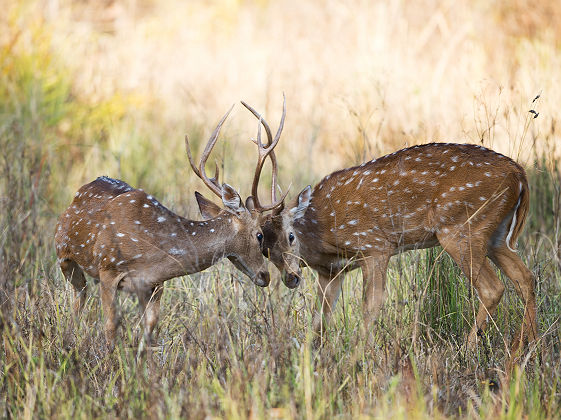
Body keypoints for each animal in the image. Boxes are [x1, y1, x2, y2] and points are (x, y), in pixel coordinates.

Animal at [54, 106, 280, 352]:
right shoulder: (108, 269)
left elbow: (150, 330)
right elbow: (110, 327)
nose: (265, 276)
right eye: (259, 235)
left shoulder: (154, 285)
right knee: (79, 296)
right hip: (64, 254)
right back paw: (69, 342)